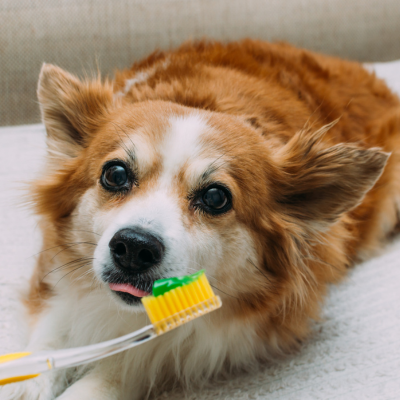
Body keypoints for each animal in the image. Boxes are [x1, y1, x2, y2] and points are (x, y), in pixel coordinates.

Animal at [3, 38, 400, 400]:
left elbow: (129, 363)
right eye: (114, 174)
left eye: (215, 198)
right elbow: (51, 337)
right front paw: (26, 383)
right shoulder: (56, 273)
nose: (134, 247)